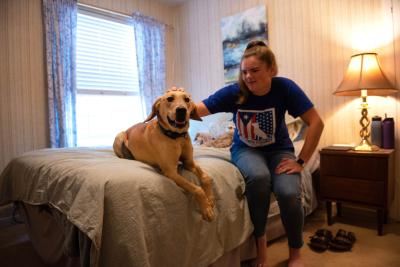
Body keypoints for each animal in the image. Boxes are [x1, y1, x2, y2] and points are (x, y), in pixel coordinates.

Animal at [114, 87, 214, 221]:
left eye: (187, 99)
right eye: (170, 98)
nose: (181, 110)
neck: (177, 138)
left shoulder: (189, 162)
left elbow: (206, 178)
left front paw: (211, 199)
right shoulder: (171, 171)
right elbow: (197, 189)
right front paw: (206, 208)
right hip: (120, 136)